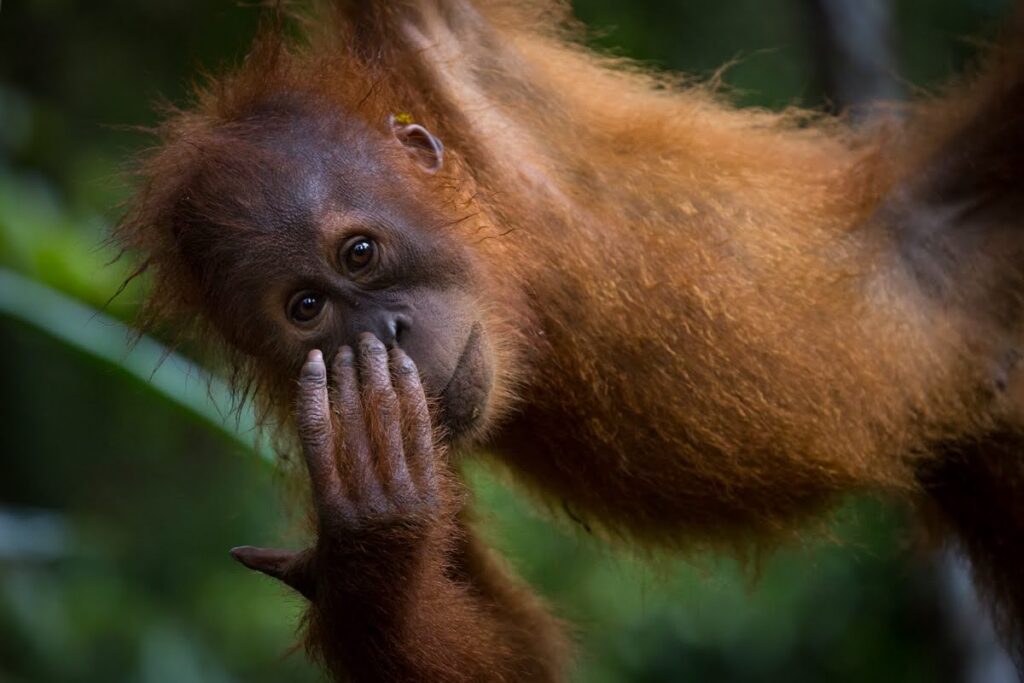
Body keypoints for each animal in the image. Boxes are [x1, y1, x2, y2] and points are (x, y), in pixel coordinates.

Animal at [116, 0, 1024, 679]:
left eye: (360, 254)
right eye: (306, 306)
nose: (383, 331)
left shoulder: (439, 47)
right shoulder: (335, 398)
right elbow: (512, 642)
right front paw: (369, 546)